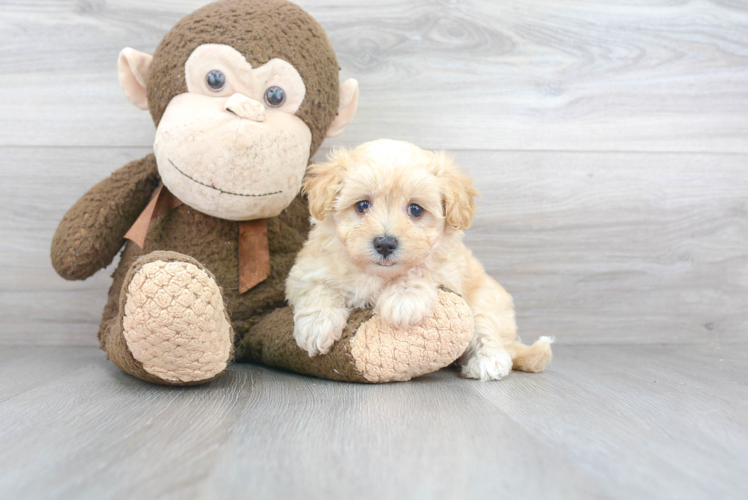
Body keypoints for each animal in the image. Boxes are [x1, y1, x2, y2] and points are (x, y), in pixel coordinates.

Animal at [290, 139, 552, 380]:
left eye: (415, 209)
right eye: (362, 205)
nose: (385, 244)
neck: (377, 274)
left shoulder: (448, 267)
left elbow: (421, 268)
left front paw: (403, 298)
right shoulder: (307, 269)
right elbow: (318, 288)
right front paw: (317, 325)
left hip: (485, 303)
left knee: (487, 332)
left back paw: (488, 362)